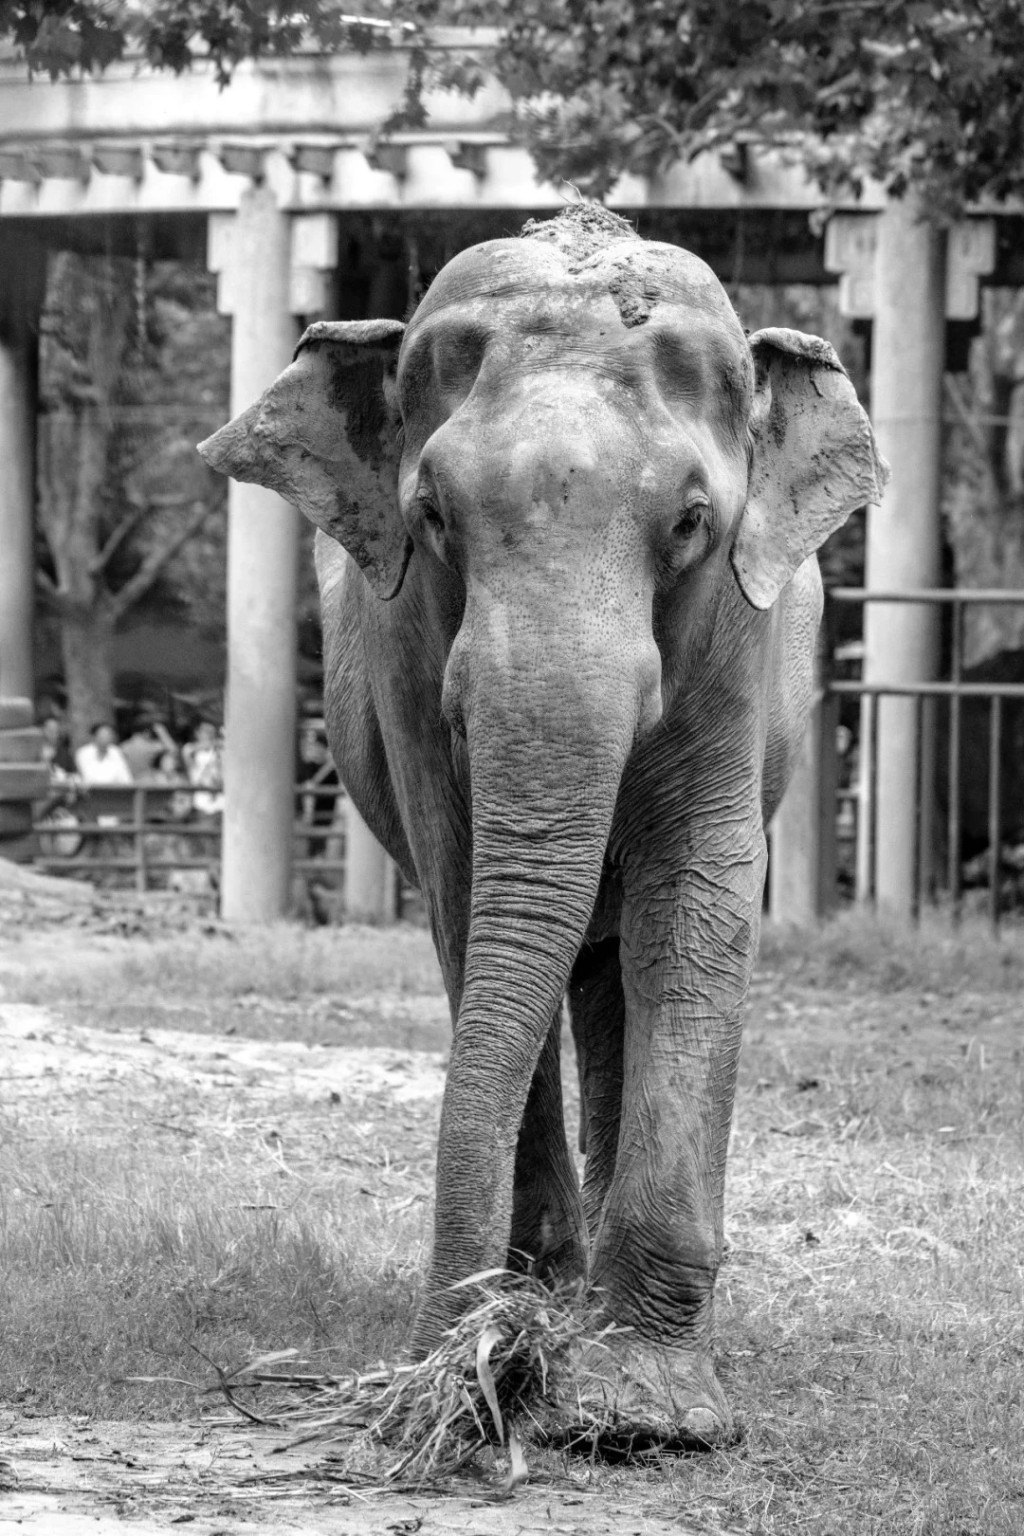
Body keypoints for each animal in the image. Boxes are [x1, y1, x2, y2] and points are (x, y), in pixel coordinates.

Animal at [199, 203, 887, 1449]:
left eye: (690, 523)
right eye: (431, 516)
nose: (439, 1366)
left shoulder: (738, 643)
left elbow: (696, 900)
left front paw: (645, 1413)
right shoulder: (409, 665)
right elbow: (468, 898)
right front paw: (518, 1336)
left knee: (618, 965)